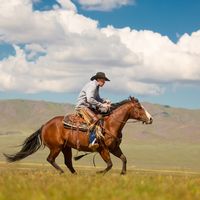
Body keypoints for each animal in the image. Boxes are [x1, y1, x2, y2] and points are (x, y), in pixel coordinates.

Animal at [3, 96, 153, 174]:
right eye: (139, 108)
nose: (151, 119)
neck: (110, 124)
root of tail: (44, 125)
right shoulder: (103, 149)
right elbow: (110, 164)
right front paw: (98, 174)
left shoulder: (114, 148)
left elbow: (124, 158)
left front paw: (122, 173)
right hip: (56, 147)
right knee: (51, 159)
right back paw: (62, 173)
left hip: (66, 148)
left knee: (68, 162)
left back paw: (74, 175)